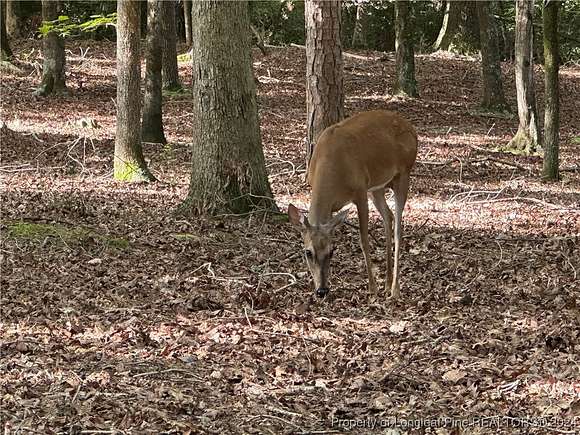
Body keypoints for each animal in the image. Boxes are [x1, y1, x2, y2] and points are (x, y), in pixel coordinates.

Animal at [288, 110, 416, 300]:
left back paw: (394, 289)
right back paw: (386, 284)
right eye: (307, 252)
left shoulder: (360, 190)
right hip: (378, 186)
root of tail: (412, 129)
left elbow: (363, 240)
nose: (321, 290)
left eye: (332, 251)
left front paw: (372, 288)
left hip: (403, 173)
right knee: (388, 216)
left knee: (399, 229)